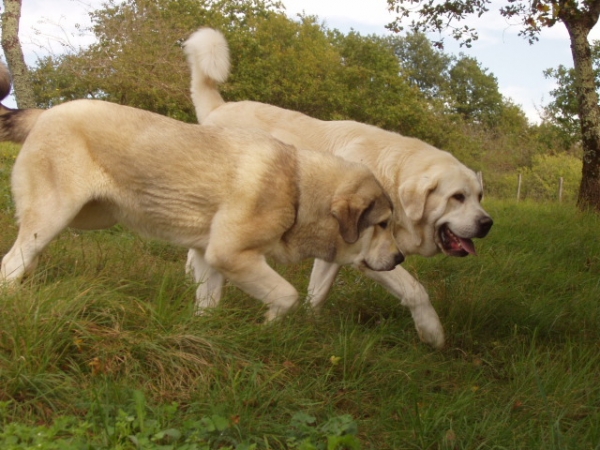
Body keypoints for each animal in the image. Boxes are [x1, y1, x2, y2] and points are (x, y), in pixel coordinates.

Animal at [1, 65, 404, 322]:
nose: (400, 258)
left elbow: (208, 307)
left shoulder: (211, 261)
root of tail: (45, 113)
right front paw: (271, 323)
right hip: (53, 217)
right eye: (383, 224)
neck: (298, 189)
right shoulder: (231, 255)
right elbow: (286, 295)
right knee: (10, 265)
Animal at [185, 29, 494, 348]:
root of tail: (219, 106)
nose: (487, 223)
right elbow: (415, 290)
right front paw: (433, 333)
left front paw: (309, 325)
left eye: (479, 196)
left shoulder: (337, 250)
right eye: (457, 197)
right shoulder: (369, 256)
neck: (393, 179)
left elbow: (318, 291)